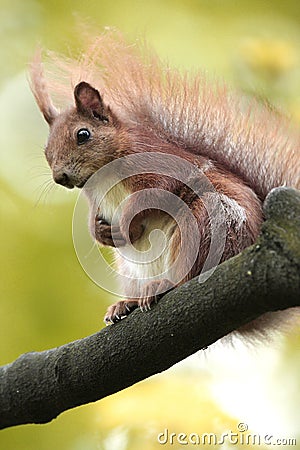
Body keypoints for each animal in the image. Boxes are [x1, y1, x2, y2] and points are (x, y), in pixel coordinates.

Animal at [29, 32, 298, 326]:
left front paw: (125, 225)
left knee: (186, 278)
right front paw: (98, 231)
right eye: (45, 150)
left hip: (207, 224)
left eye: (83, 134)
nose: (60, 177)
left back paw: (162, 285)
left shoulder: (157, 165)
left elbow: (155, 193)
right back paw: (126, 303)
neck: (102, 176)